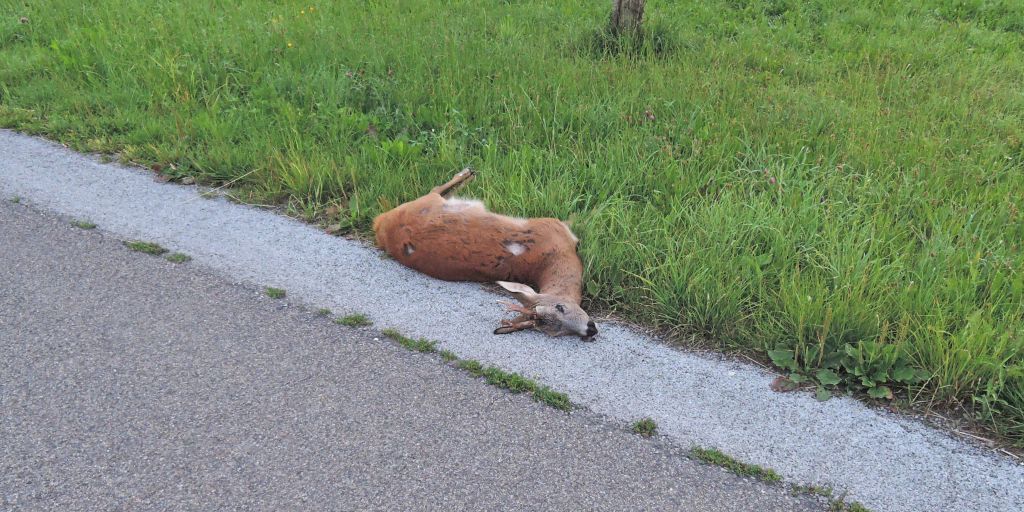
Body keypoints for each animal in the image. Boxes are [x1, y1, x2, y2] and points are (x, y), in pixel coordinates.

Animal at [374, 169, 598, 342]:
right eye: (556, 330)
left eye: (560, 308)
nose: (591, 329)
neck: (553, 257)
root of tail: (380, 224)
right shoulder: (553, 225)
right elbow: (579, 219)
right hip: (425, 202)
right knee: (434, 189)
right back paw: (467, 173)